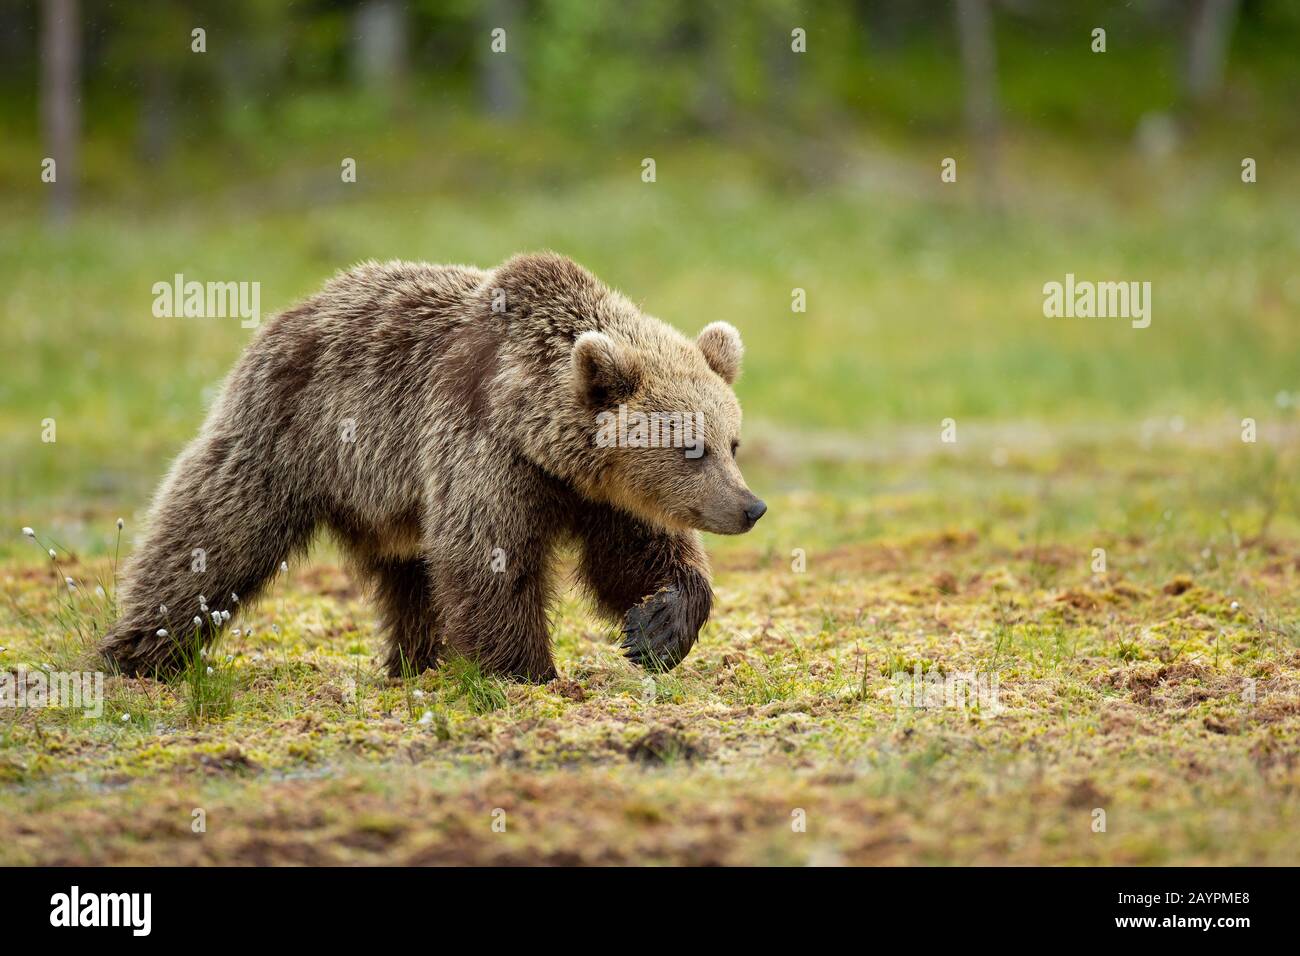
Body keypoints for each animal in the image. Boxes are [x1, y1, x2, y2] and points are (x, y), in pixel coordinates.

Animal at [109, 256, 769, 681]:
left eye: (732, 442)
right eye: (692, 447)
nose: (750, 506)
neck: (539, 433)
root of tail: (287, 315)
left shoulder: (597, 493)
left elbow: (635, 556)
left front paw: (656, 629)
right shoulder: (484, 451)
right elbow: (487, 558)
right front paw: (527, 671)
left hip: (384, 501)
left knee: (409, 581)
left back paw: (415, 662)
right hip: (287, 439)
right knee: (210, 538)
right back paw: (136, 654)